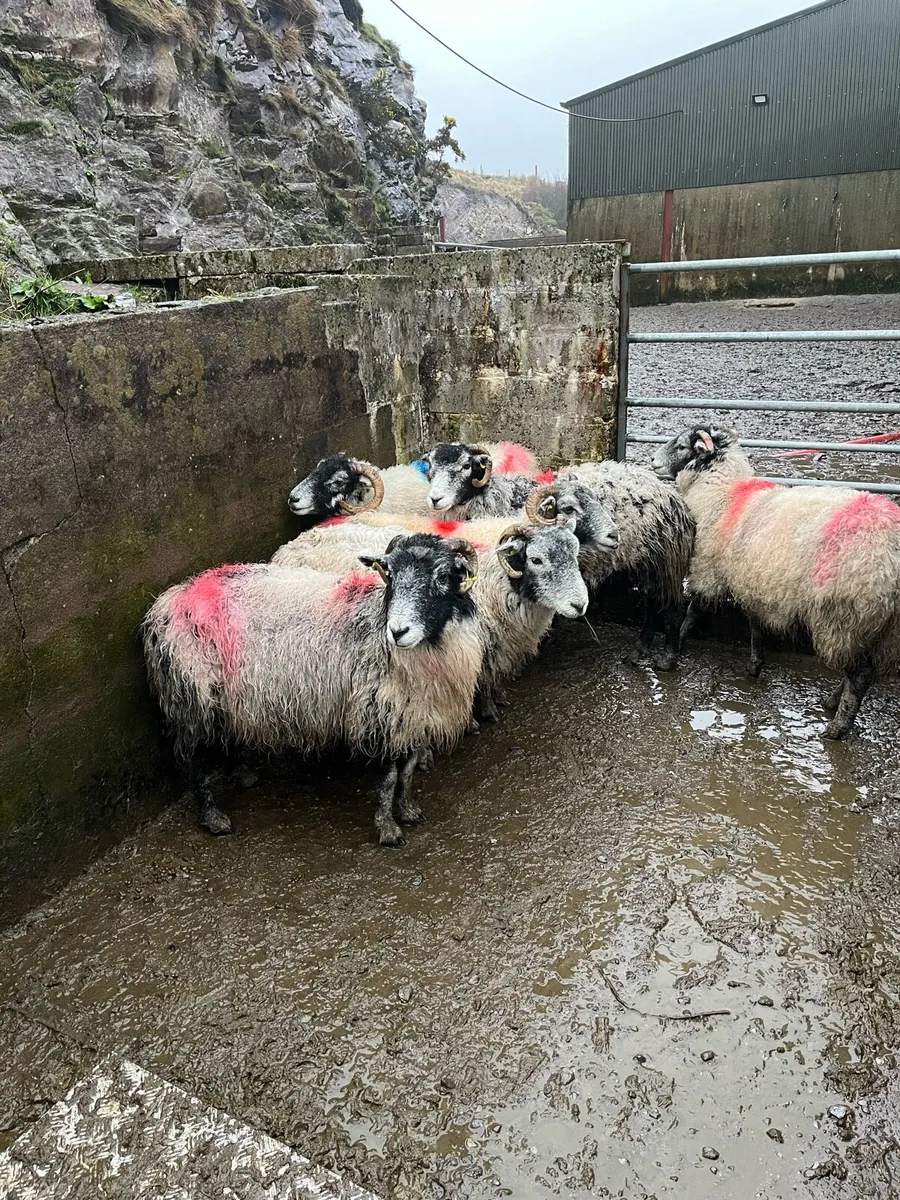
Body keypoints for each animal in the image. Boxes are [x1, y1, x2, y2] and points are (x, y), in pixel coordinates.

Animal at [143, 534, 483, 847]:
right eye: (390, 574)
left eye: (442, 576)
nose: (398, 631)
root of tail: (168, 602)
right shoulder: (379, 713)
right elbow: (388, 778)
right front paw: (388, 830)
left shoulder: (414, 715)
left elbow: (408, 772)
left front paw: (408, 810)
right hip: (195, 696)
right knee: (195, 760)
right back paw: (213, 818)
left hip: (228, 695)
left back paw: (243, 775)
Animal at [556, 460, 695, 671]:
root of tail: (676, 500)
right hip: (646, 565)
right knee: (653, 607)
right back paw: (638, 652)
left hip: (662, 564)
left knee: (671, 610)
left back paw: (666, 659)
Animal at [650, 423, 900, 738]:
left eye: (683, 446)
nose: (652, 461)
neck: (725, 492)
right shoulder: (753, 581)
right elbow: (755, 624)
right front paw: (755, 666)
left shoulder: (709, 569)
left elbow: (693, 612)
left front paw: (672, 652)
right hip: (882, 627)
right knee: (864, 669)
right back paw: (832, 702)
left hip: (845, 614)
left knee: (860, 674)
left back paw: (837, 725)